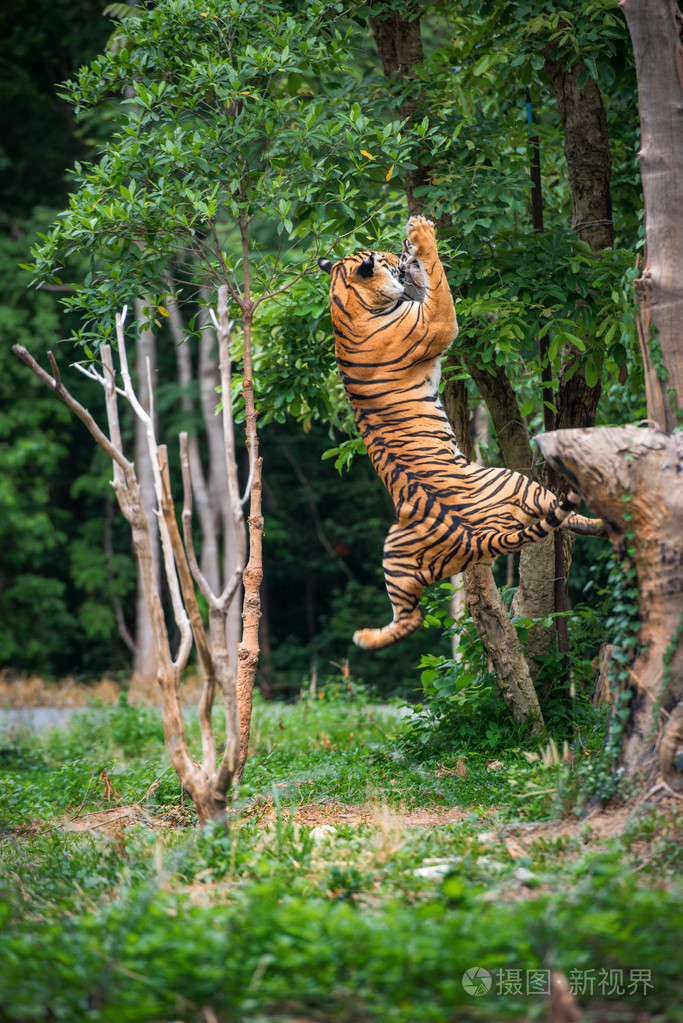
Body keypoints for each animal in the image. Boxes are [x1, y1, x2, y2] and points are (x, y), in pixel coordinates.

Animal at [316, 216, 601, 650]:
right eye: (381, 257)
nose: (396, 252)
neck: (345, 303)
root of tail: (479, 538)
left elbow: (429, 280)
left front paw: (414, 243)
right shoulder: (436, 322)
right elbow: (439, 279)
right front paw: (421, 235)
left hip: (395, 556)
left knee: (409, 619)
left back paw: (365, 637)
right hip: (515, 480)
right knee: (561, 511)